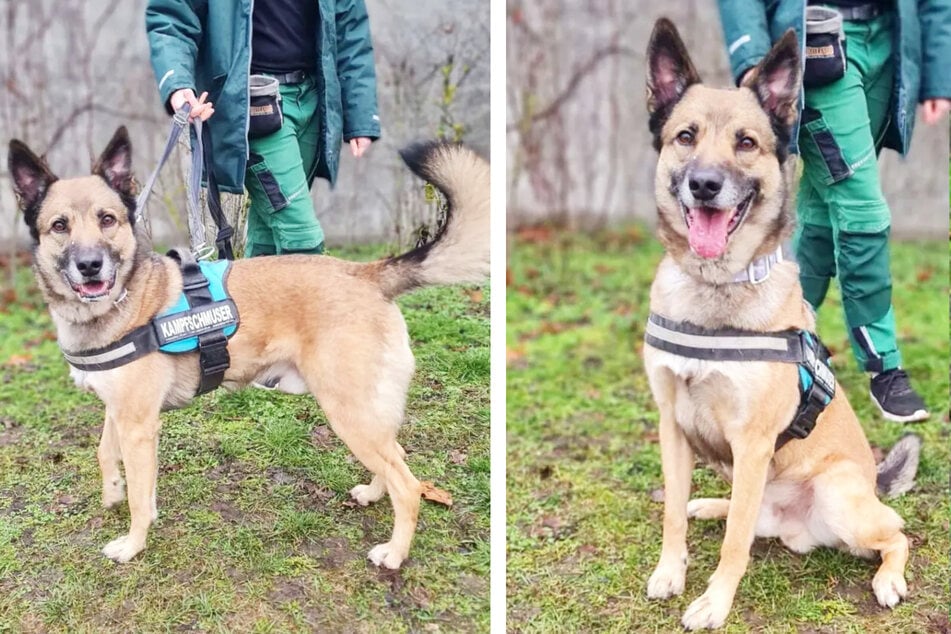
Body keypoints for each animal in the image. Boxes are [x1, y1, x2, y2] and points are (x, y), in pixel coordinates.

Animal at [5, 128, 484, 568]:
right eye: (59, 226)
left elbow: (141, 498)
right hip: (367, 416)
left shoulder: (139, 426)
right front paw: (112, 492)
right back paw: (372, 491)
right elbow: (106, 453)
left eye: (108, 219)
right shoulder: (119, 411)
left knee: (409, 485)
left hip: (350, 414)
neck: (125, 298)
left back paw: (395, 553)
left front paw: (133, 543)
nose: (90, 266)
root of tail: (367, 273)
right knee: (396, 457)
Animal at [644, 18, 920, 628]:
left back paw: (889, 579)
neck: (714, 286)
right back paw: (711, 505)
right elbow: (673, 513)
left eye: (746, 143)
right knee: (741, 516)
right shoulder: (673, 426)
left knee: (897, 533)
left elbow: (734, 545)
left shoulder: (751, 443)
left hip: (840, 501)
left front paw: (713, 603)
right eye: (685, 137)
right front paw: (671, 571)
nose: (704, 185)